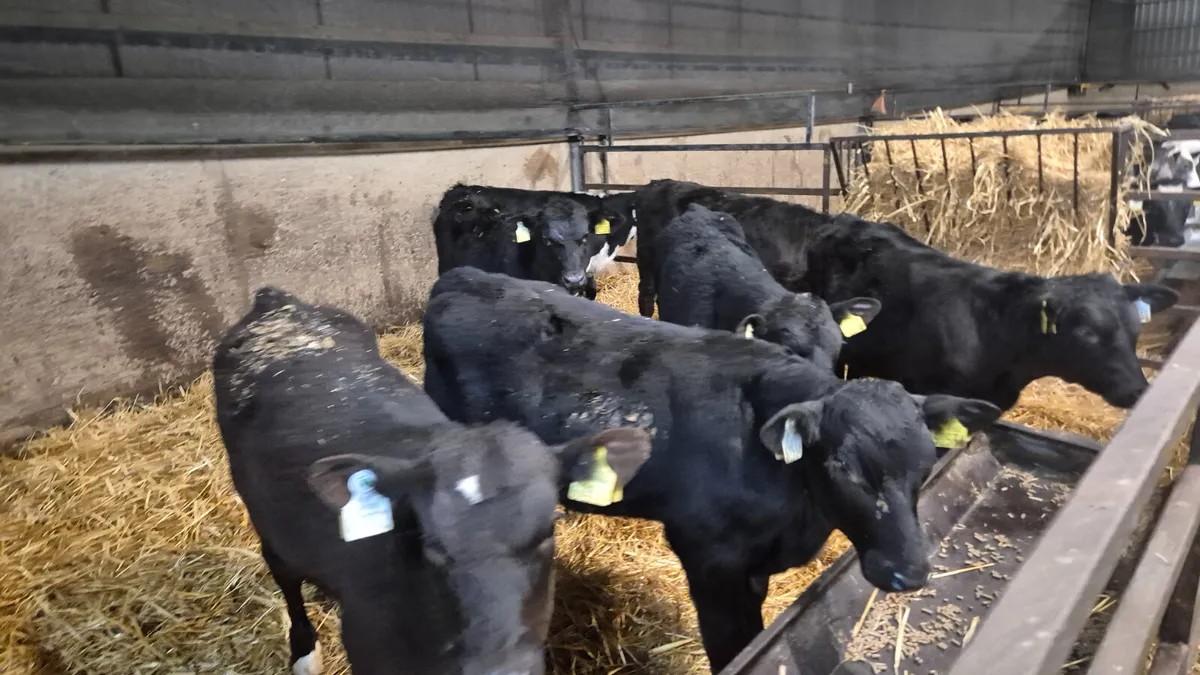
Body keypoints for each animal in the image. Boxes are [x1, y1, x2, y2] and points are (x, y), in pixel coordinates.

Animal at [421, 267, 1003, 673]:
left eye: (925, 464)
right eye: (843, 467)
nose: (909, 572)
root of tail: (461, 277)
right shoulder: (709, 559)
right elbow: (733, 645)